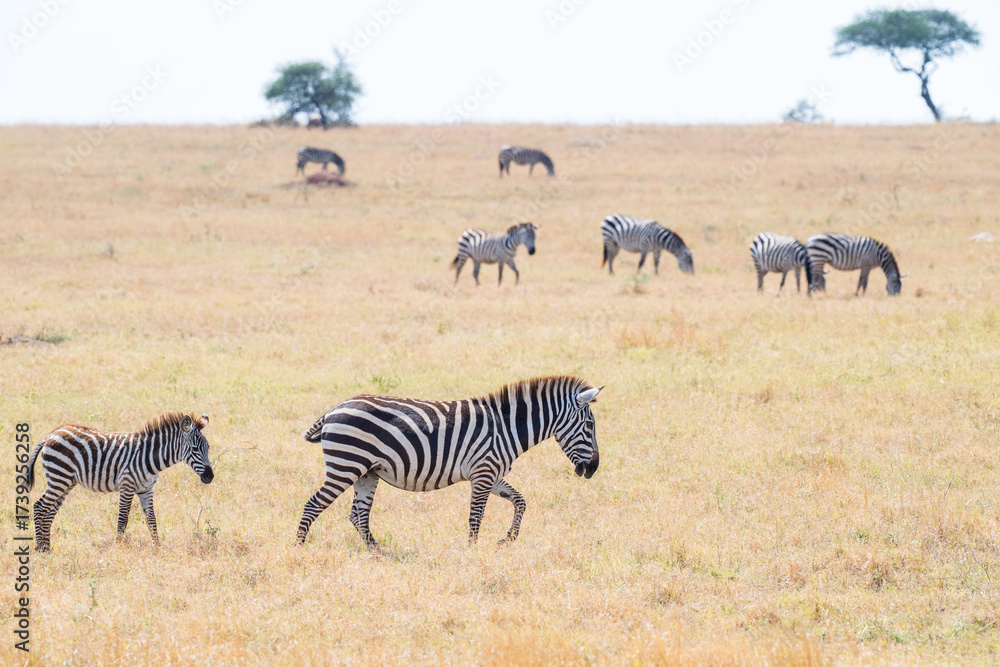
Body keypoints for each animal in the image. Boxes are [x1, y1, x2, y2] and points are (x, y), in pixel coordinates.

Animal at [25, 412, 214, 552]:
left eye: (208, 448)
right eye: (195, 449)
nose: (210, 477)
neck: (149, 457)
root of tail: (52, 434)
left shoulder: (146, 490)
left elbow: (152, 520)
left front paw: (157, 548)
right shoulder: (127, 486)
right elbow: (123, 520)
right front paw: (119, 548)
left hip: (66, 481)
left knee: (49, 512)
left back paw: (47, 548)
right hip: (59, 477)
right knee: (39, 506)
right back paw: (39, 549)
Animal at [295, 376, 603, 547]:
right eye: (589, 426)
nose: (593, 470)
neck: (506, 428)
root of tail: (333, 409)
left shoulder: (492, 474)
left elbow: (520, 501)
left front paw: (507, 539)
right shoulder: (483, 472)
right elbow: (476, 517)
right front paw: (472, 551)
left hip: (366, 473)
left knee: (358, 515)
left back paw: (378, 552)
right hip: (345, 466)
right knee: (313, 505)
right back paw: (298, 548)